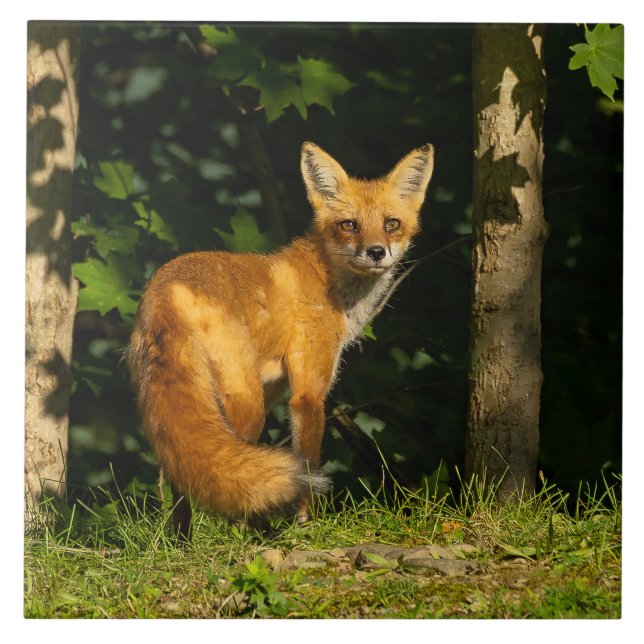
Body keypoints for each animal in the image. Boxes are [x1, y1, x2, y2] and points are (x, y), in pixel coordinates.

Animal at [127, 141, 434, 540]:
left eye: (391, 224)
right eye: (349, 225)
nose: (376, 252)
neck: (329, 282)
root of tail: (165, 287)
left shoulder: (276, 386)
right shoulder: (308, 394)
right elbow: (308, 462)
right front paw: (307, 524)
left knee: (182, 475)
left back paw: (185, 542)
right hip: (245, 401)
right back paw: (244, 535)